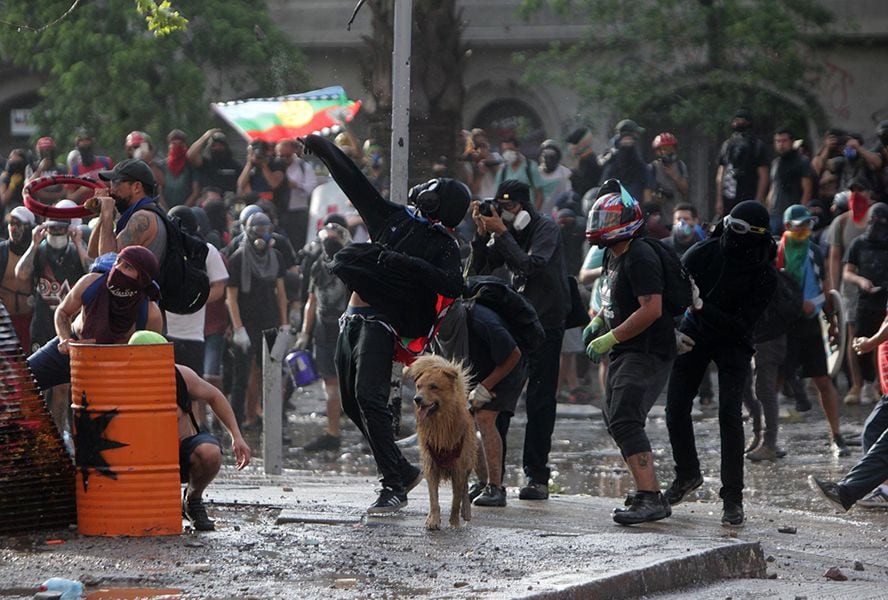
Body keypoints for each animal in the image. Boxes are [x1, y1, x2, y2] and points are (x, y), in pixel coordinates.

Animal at [408, 354, 478, 528]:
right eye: (418, 386)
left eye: (433, 386)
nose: (417, 399)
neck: (440, 424)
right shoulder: (431, 465)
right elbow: (434, 498)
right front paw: (433, 519)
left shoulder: (459, 468)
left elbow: (455, 501)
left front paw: (454, 522)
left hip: (468, 462)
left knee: (465, 489)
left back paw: (466, 512)